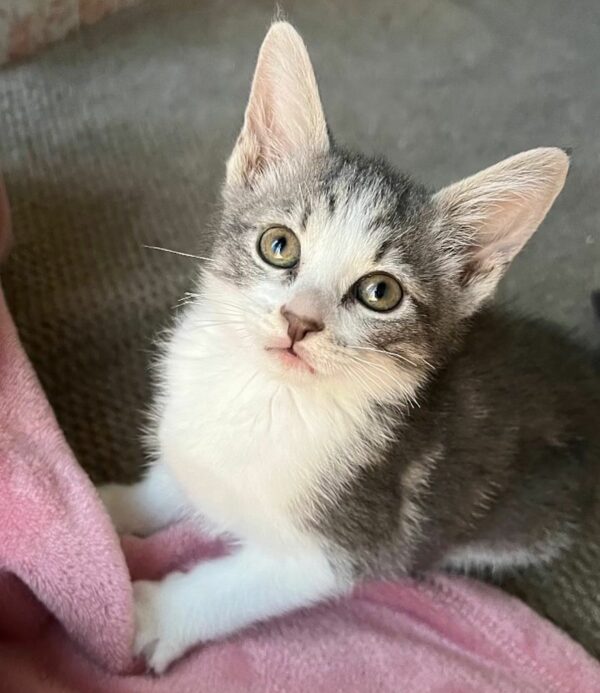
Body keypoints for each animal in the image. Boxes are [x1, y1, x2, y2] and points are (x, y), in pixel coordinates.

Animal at [96, 20, 596, 672]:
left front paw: (144, 615)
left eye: (380, 292)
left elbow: (229, 588)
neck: (266, 396)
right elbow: (175, 479)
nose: (299, 320)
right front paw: (110, 508)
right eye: (278, 244)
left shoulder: (345, 546)